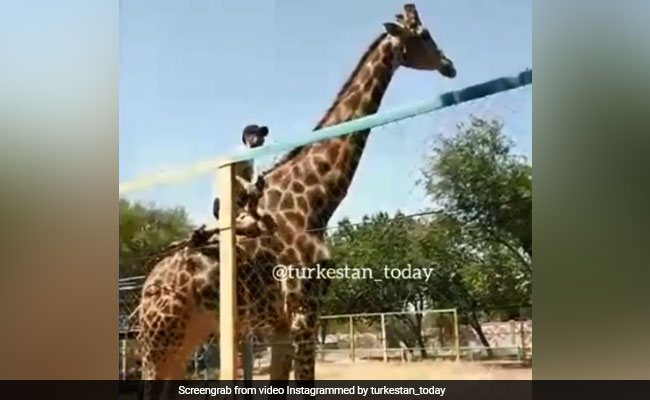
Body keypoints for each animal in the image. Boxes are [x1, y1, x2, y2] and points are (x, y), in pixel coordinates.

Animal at [136, 3, 456, 383]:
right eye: (424, 35)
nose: (449, 65)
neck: (317, 204)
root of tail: (145, 289)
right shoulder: (304, 310)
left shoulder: (285, 323)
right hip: (159, 342)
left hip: (187, 338)